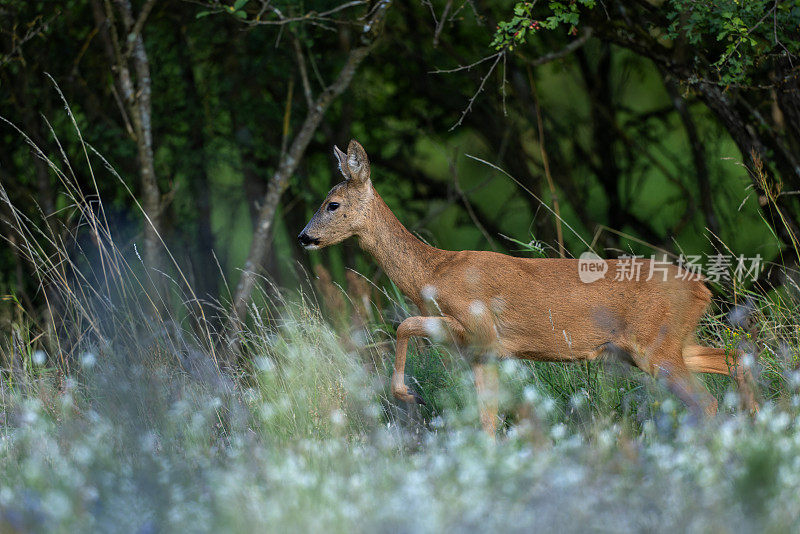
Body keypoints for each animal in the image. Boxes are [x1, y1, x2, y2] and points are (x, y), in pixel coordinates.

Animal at [298, 139, 756, 436]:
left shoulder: (478, 326)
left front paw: (407, 395)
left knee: (708, 398)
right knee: (735, 357)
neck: (431, 273)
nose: (304, 237)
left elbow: (404, 324)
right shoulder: (482, 354)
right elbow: (487, 421)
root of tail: (703, 290)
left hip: (654, 346)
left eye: (332, 204)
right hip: (662, 345)